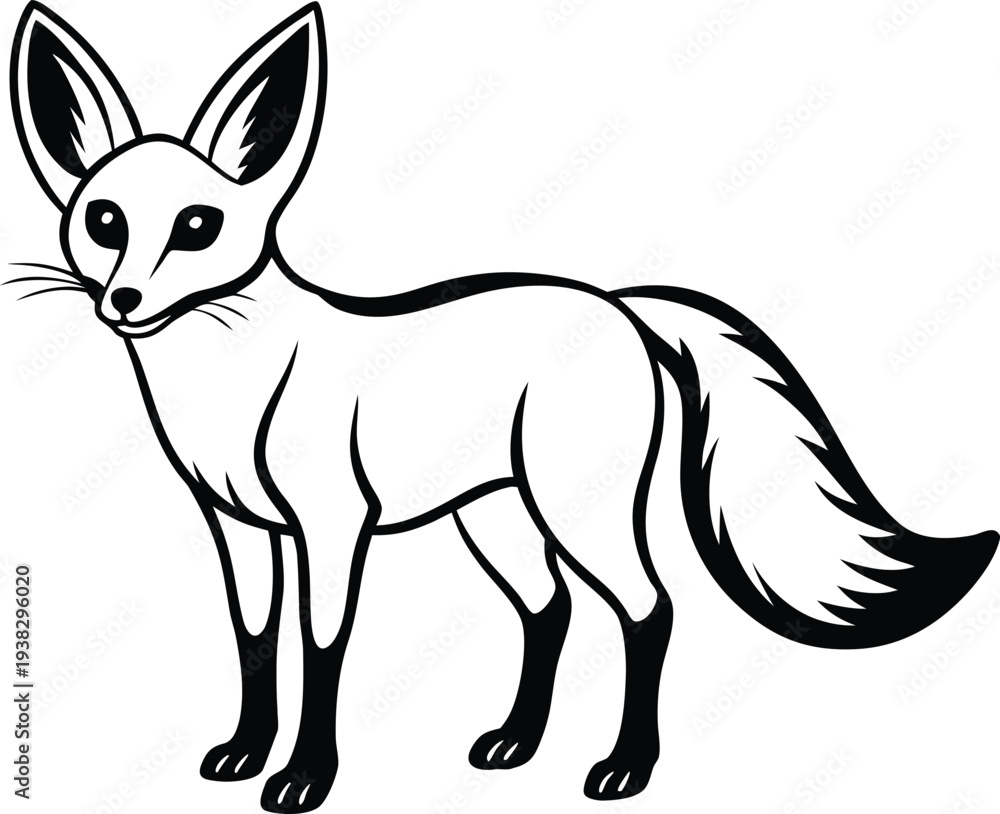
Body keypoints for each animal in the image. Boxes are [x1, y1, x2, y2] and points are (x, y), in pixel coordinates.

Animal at [8, 3, 998, 812]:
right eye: (104, 221)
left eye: (199, 227)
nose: (125, 302)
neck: (232, 383)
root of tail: (620, 303)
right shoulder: (238, 525)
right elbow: (254, 638)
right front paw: (244, 755)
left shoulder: (332, 524)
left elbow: (322, 647)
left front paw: (303, 780)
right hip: (493, 515)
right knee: (548, 609)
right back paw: (517, 744)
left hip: (578, 507)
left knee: (650, 608)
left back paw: (625, 769)